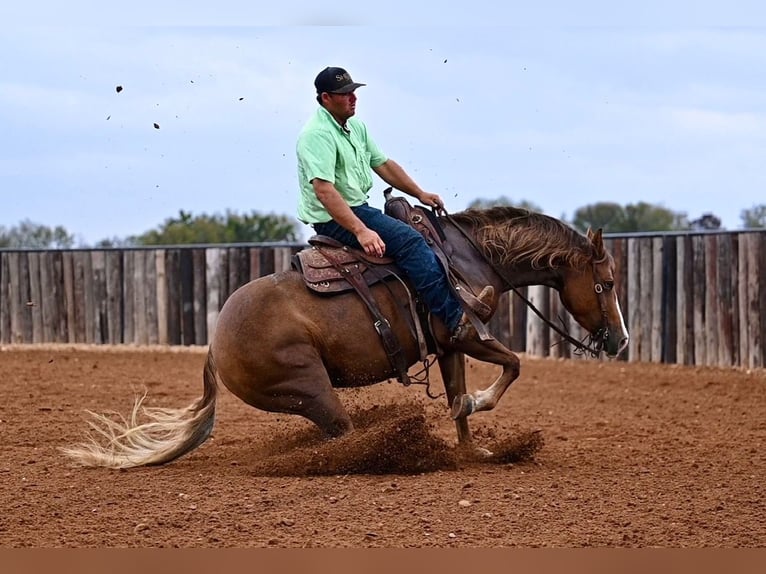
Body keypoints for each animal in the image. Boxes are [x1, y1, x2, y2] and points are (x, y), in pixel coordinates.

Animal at [63, 202, 632, 468]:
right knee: (344, 435)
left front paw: (473, 450)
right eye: (604, 283)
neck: (466, 260)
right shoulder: (465, 333)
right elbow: (513, 365)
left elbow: (456, 400)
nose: (622, 341)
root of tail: (215, 341)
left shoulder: (449, 346)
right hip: (308, 388)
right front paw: (480, 405)